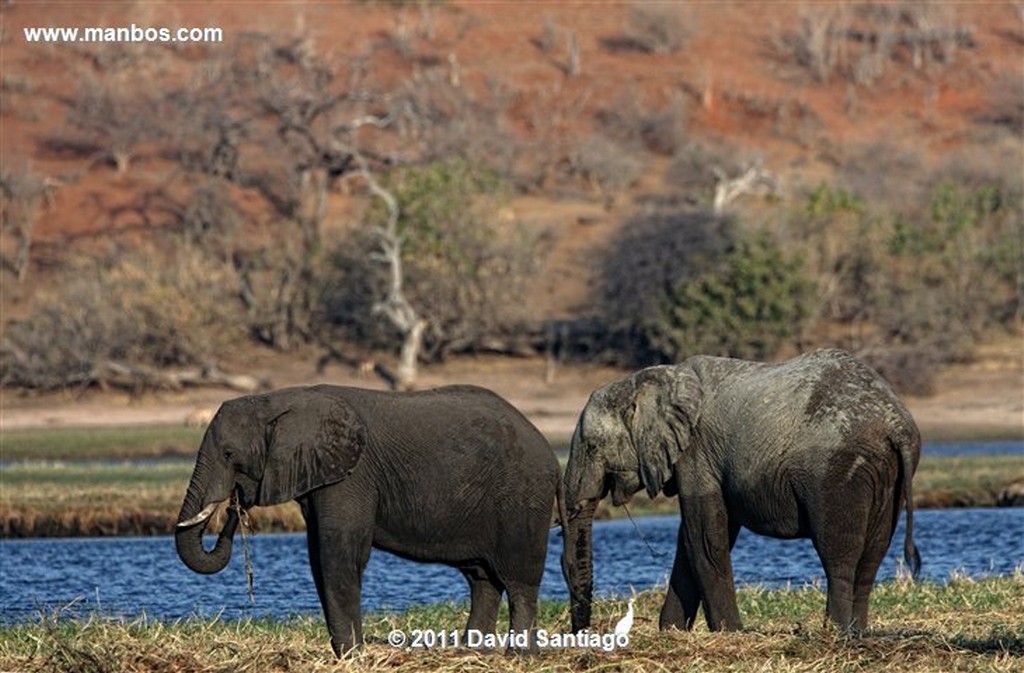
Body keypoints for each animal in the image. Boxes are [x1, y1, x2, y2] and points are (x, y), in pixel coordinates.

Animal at [176, 385, 561, 655]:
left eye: (229, 454)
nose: (233, 507)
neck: (279, 399)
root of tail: (544, 443)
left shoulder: (352, 475)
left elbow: (339, 553)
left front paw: (351, 654)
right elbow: (318, 556)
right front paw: (345, 654)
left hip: (524, 497)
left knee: (520, 579)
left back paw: (519, 656)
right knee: (483, 579)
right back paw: (471, 653)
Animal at [565, 348, 925, 631]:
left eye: (592, 447)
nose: (582, 631)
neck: (652, 379)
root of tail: (896, 424)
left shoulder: (696, 451)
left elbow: (704, 538)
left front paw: (729, 632)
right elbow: (693, 537)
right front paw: (672, 631)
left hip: (835, 471)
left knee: (839, 554)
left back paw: (834, 632)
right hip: (884, 474)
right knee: (872, 556)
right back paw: (856, 632)